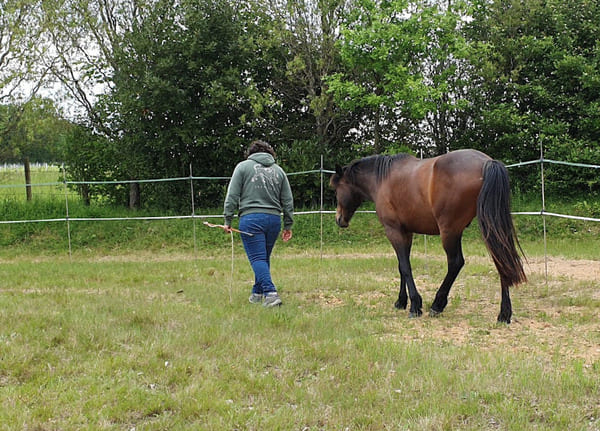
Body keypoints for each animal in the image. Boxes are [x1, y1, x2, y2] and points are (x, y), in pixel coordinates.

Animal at [330, 150, 528, 322]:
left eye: (336, 189)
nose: (339, 219)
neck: (382, 179)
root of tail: (487, 162)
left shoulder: (393, 230)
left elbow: (405, 267)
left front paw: (415, 306)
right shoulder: (406, 232)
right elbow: (401, 266)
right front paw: (401, 301)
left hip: (450, 232)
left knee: (456, 263)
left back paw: (437, 304)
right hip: (490, 227)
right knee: (501, 259)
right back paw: (504, 314)